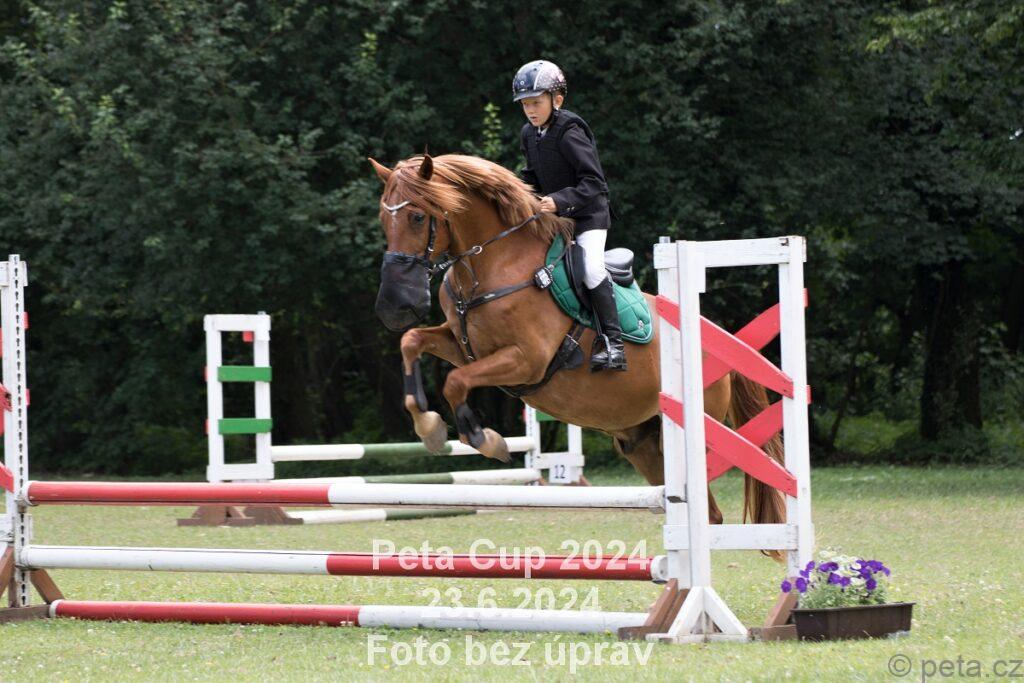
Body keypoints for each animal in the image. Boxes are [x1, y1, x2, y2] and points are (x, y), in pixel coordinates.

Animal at [369, 152, 785, 528]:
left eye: (417, 217)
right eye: (383, 220)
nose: (394, 306)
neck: (489, 267)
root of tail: (720, 342)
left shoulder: (526, 360)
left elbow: (456, 382)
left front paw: (482, 438)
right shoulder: (464, 347)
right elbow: (412, 342)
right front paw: (428, 424)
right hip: (644, 443)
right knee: (706, 514)